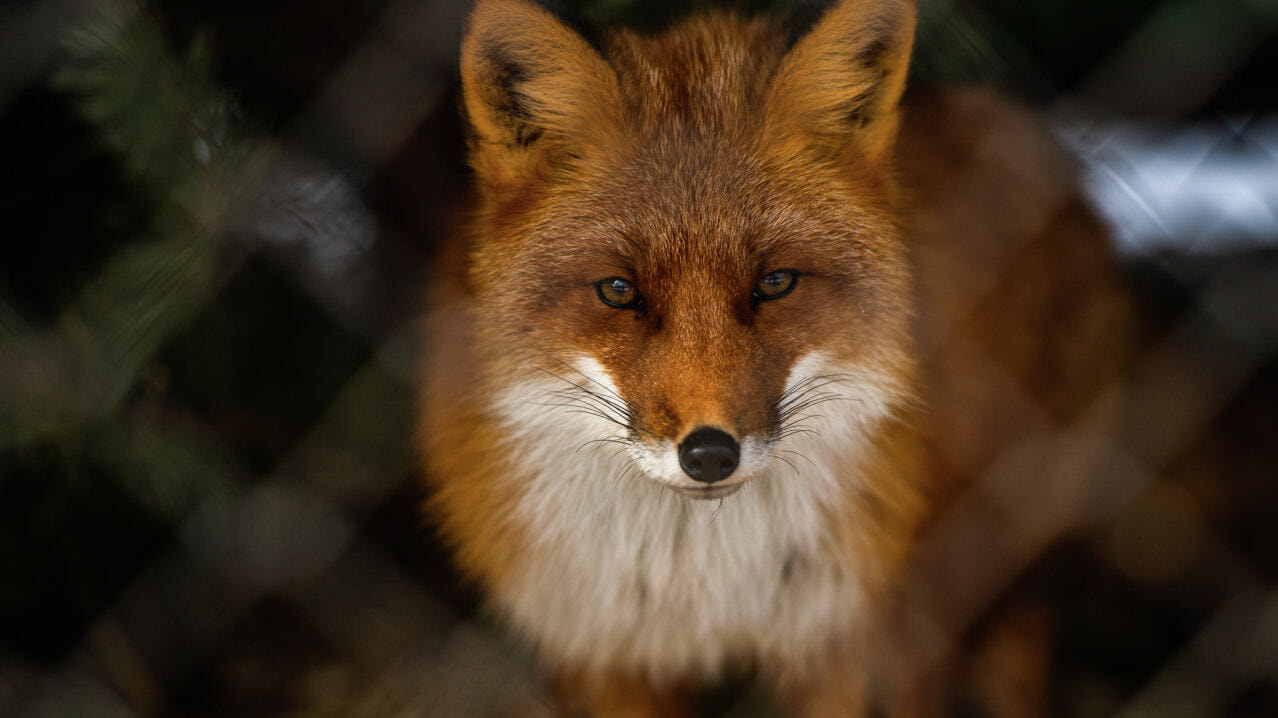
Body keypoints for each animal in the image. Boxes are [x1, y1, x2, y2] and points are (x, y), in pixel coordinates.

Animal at [419, 0, 1129, 710]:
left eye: (776, 282)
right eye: (619, 290)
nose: (709, 454)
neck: (705, 582)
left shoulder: (858, 643)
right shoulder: (603, 653)